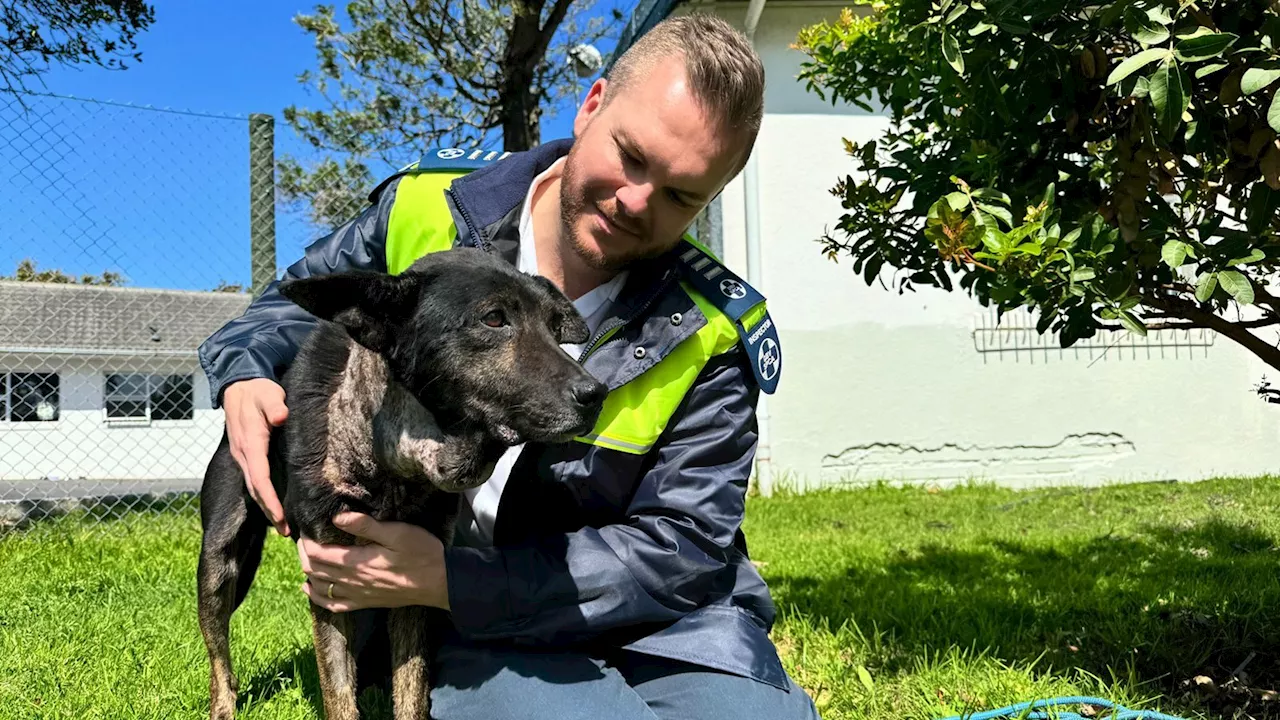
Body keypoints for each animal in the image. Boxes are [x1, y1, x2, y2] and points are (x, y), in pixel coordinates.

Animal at [194, 248, 604, 717]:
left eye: (554, 328)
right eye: (494, 319)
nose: (597, 395)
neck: (394, 466)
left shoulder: (414, 583)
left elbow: (411, 686)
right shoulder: (326, 577)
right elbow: (339, 693)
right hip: (219, 563)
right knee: (218, 654)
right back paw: (224, 706)